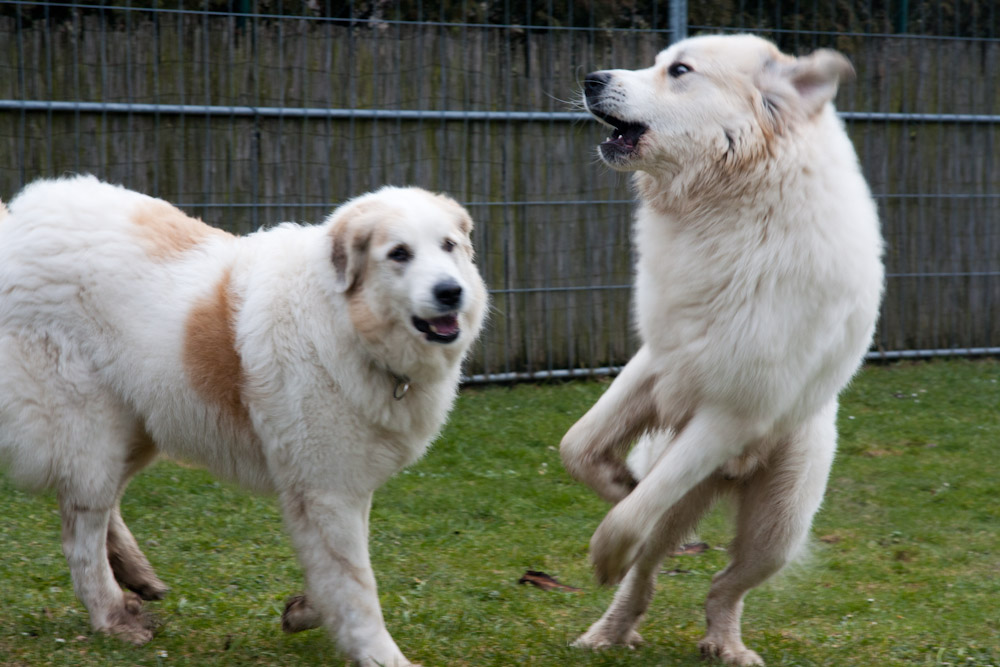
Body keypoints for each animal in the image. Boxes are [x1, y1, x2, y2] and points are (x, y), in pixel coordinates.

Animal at [0, 177, 488, 667]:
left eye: (449, 246)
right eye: (399, 253)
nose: (450, 292)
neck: (345, 322)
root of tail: (14, 222)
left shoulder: (338, 485)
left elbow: (335, 571)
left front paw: (304, 610)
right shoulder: (328, 491)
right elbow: (355, 584)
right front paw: (380, 655)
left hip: (137, 429)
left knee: (102, 509)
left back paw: (136, 575)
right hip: (92, 431)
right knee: (81, 534)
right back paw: (113, 616)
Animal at [564, 36, 884, 667]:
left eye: (680, 71)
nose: (590, 79)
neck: (731, 199)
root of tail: (729, 479)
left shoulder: (730, 414)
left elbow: (627, 515)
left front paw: (605, 547)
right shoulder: (659, 361)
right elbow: (579, 446)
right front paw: (615, 481)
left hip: (776, 529)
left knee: (723, 584)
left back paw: (724, 643)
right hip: (695, 501)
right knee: (647, 574)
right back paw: (609, 632)